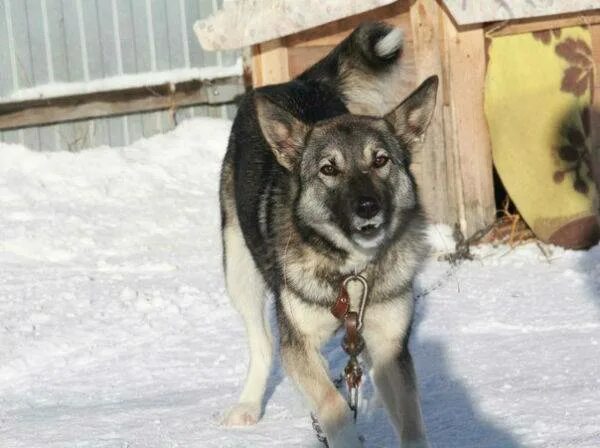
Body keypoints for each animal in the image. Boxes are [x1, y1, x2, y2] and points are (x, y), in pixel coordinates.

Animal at [218, 22, 438, 448]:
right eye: (328, 169)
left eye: (380, 160)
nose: (368, 207)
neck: (350, 271)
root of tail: (299, 81)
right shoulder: (298, 340)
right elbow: (332, 405)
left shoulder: (389, 345)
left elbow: (412, 421)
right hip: (239, 272)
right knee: (263, 344)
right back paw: (249, 405)